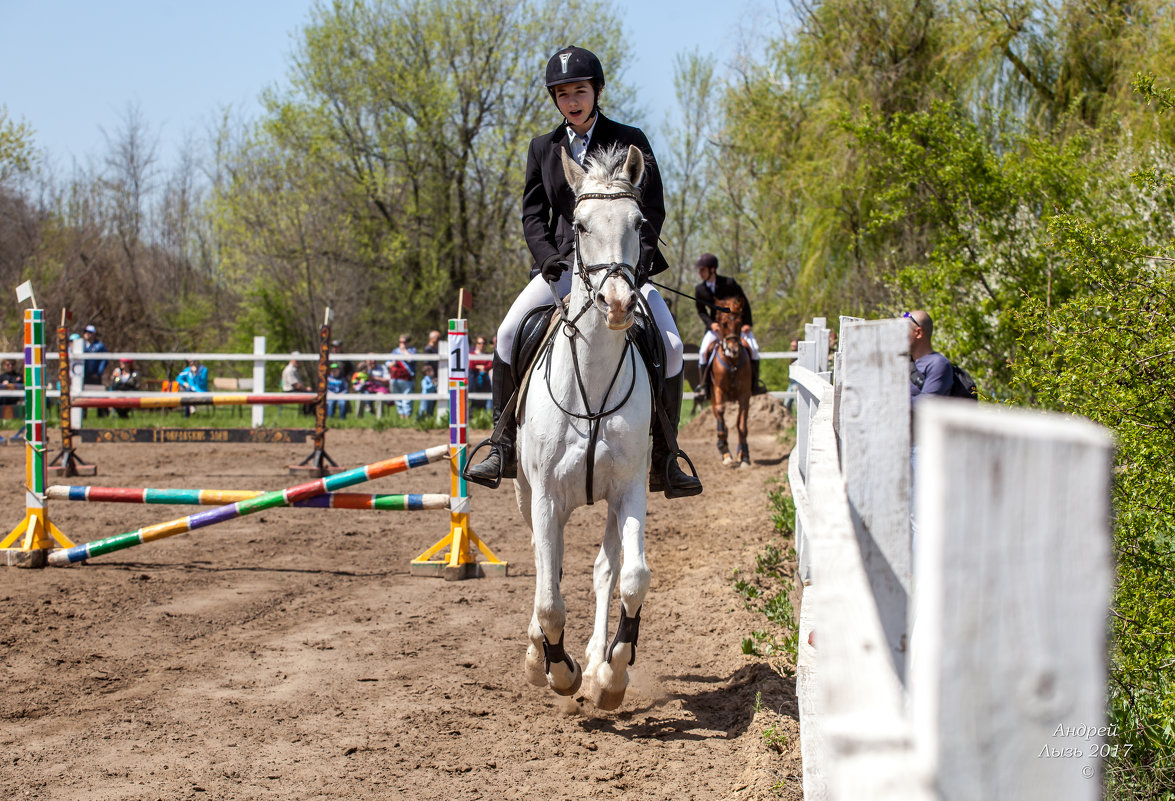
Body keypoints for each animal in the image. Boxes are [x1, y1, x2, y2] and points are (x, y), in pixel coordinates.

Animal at [705, 295, 752, 465]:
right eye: (724, 324)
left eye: (739, 322)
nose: (733, 350)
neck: (732, 362)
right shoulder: (718, 390)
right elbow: (721, 414)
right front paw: (724, 449)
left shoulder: (744, 395)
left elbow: (742, 425)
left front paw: (744, 456)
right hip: (713, 396)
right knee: (720, 417)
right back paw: (724, 449)